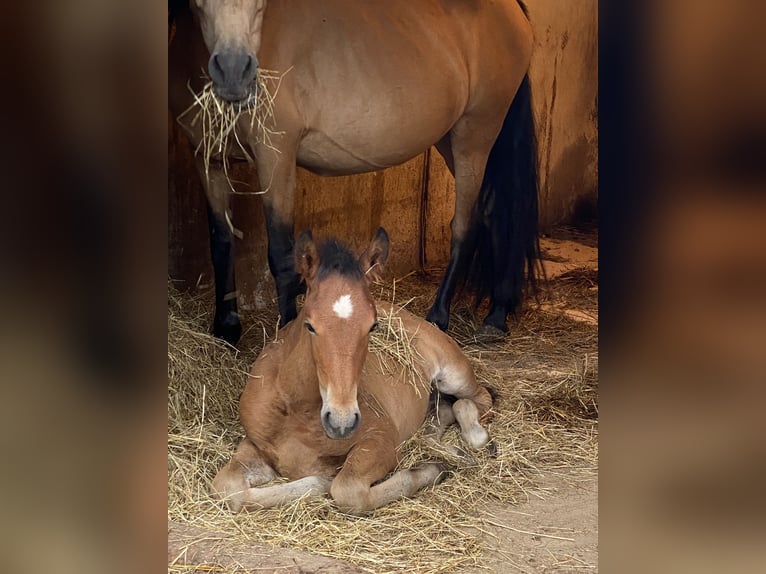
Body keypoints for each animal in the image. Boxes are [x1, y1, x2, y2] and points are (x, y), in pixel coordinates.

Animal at [169, 0, 541, 346]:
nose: (233, 72)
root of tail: (514, 12)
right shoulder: (209, 160)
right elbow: (221, 243)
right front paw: (226, 328)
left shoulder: (275, 158)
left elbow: (282, 256)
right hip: (451, 140)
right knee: (497, 215)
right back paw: (496, 316)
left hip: (474, 135)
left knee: (466, 226)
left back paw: (439, 317)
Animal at [212, 228, 494, 513]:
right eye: (309, 325)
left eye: (373, 326)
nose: (341, 422)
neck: (297, 411)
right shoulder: (255, 444)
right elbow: (226, 487)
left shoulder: (381, 440)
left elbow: (346, 490)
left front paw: (430, 470)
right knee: (441, 412)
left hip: (453, 374)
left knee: (475, 399)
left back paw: (475, 440)